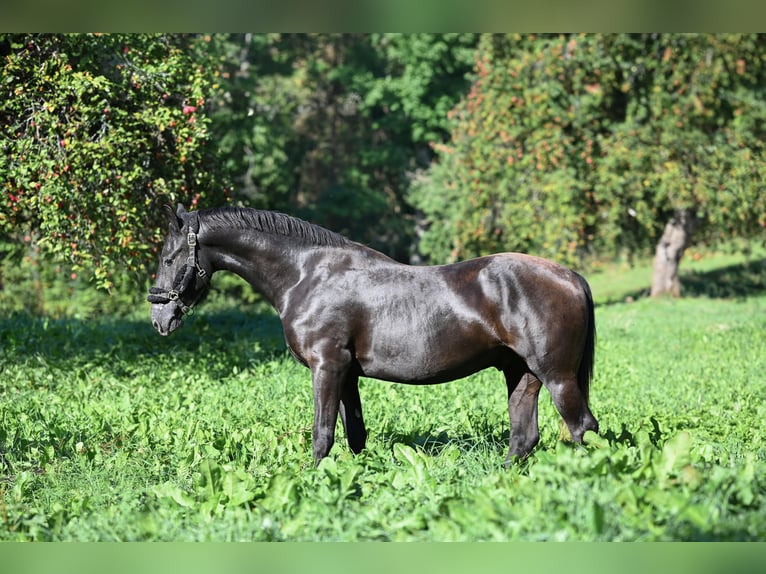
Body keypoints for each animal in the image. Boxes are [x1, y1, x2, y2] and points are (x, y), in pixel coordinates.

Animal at [146, 205, 600, 466]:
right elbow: (355, 435)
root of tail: (570, 276)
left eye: (169, 258)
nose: (159, 317)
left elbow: (322, 434)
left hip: (557, 377)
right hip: (521, 374)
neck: (307, 275)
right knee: (525, 436)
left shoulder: (327, 367)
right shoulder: (347, 374)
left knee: (581, 427)